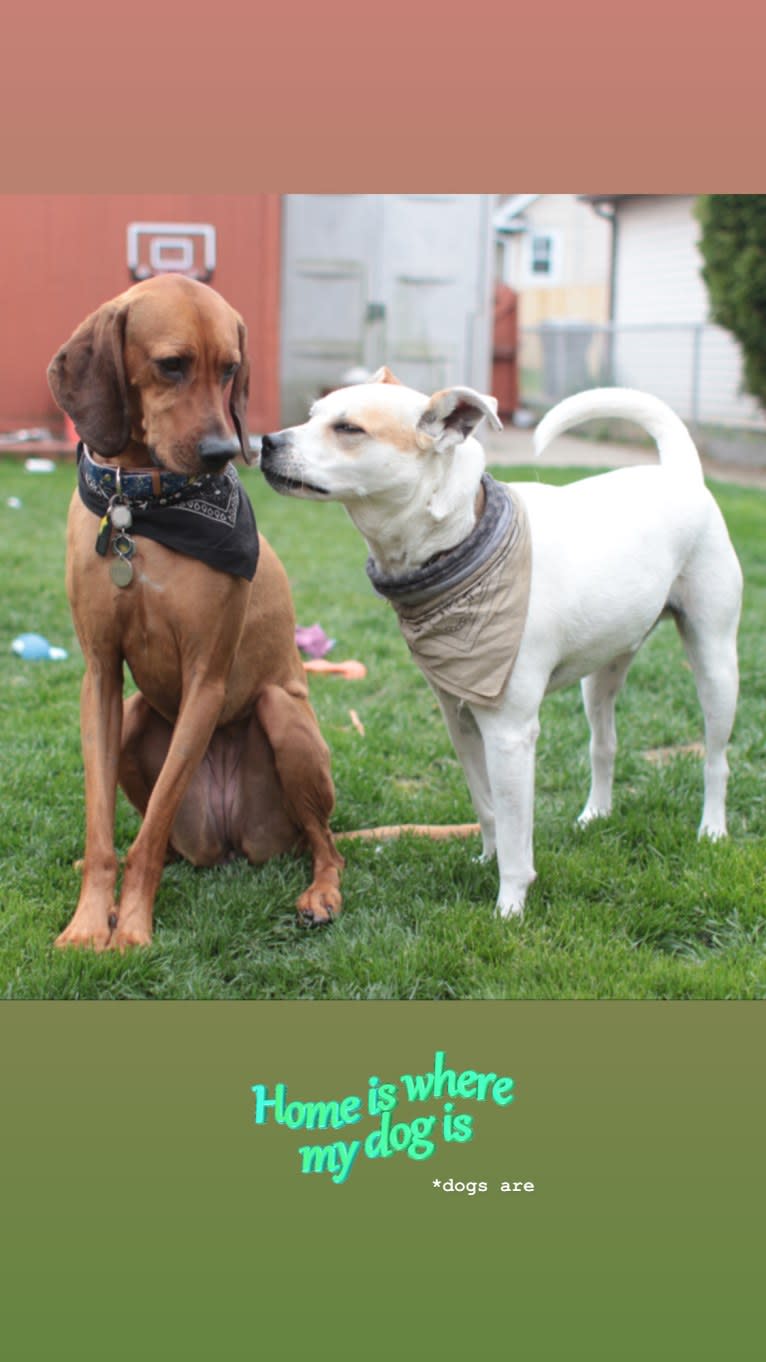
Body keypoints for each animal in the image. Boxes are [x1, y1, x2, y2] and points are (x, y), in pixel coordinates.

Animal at [49, 268, 340, 947]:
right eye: (172, 365)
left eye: (231, 368)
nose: (222, 451)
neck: (141, 511)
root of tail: (231, 843)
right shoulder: (99, 675)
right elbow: (104, 831)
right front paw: (89, 921)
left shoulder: (206, 678)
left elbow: (150, 833)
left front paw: (130, 929)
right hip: (134, 718)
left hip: (282, 717)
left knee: (327, 845)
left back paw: (320, 893)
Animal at [257, 378, 741, 920]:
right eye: (312, 414)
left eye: (348, 428)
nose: (266, 442)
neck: (463, 538)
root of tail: (682, 473)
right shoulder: (461, 720)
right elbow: (488, 808)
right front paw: (486, 859)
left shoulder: (509, 734)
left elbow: (515, 830)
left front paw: (510, 905)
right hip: (602, 674)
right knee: (604, 745)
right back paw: (595, 813)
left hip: (715, 663)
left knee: (716, 759)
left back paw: (712, 829)